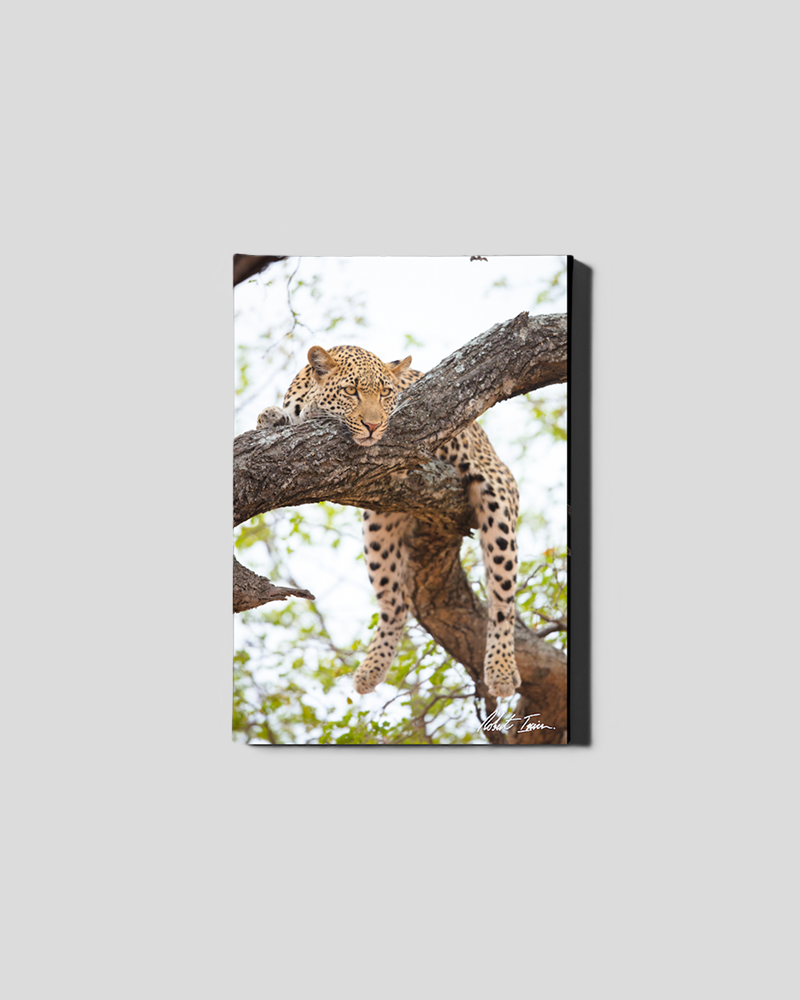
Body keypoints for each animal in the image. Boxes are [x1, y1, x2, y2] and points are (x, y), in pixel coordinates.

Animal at [257, 344, 521, 699]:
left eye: (385, 394)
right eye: (351, 391)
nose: (372, 426)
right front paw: (272, 416)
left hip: (499, 495)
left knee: (502, 599)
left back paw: (502, 670)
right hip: (377, 527)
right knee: (396, 604)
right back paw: (371, 670)